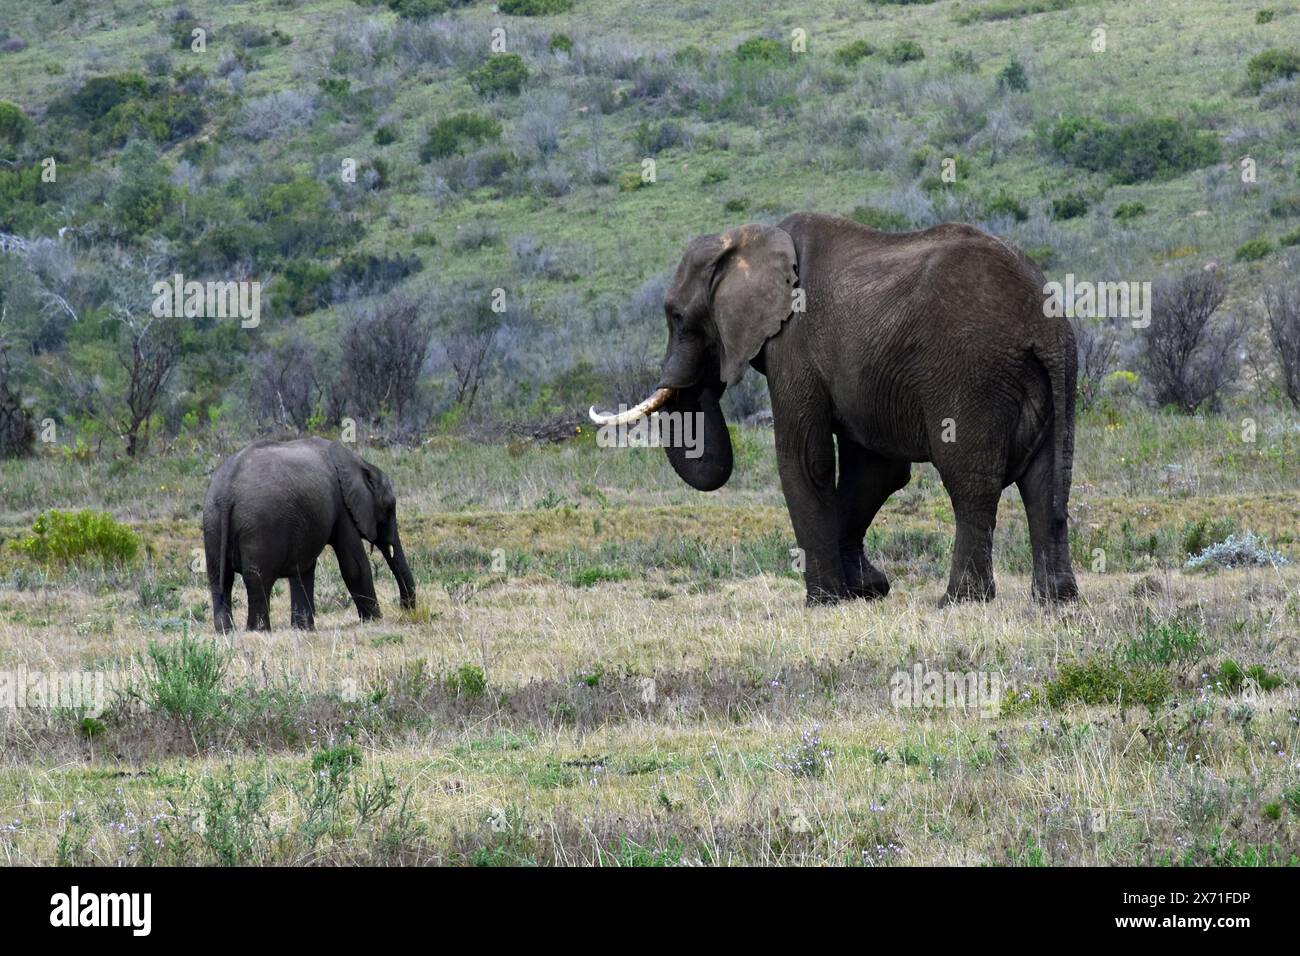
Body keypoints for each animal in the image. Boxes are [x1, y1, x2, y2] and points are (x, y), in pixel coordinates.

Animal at [202, 437, 416, 632]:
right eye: (389, 508)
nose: (406, 608)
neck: (360, 463)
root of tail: (227, 490)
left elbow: (302, 568)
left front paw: (303, 629)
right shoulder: (343, 506)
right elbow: (354, 566)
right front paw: (375, 621)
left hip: (212, 521)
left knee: (220, 578)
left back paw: (226, 631)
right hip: (258, 525)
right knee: (258, 578)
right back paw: (258, 631)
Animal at [590, 214, 1076, 606]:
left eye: (675, 316)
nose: (708, 379)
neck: (750, 237)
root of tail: (1042, 323)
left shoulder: (794, 343)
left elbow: (807, 460)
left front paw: (825, 602)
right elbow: (876, 472)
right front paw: (868, 589)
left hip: (971, 376)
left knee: (971, 482)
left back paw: (959, 601)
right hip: (1054, 381)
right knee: (1047, 482)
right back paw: (1055, 599)